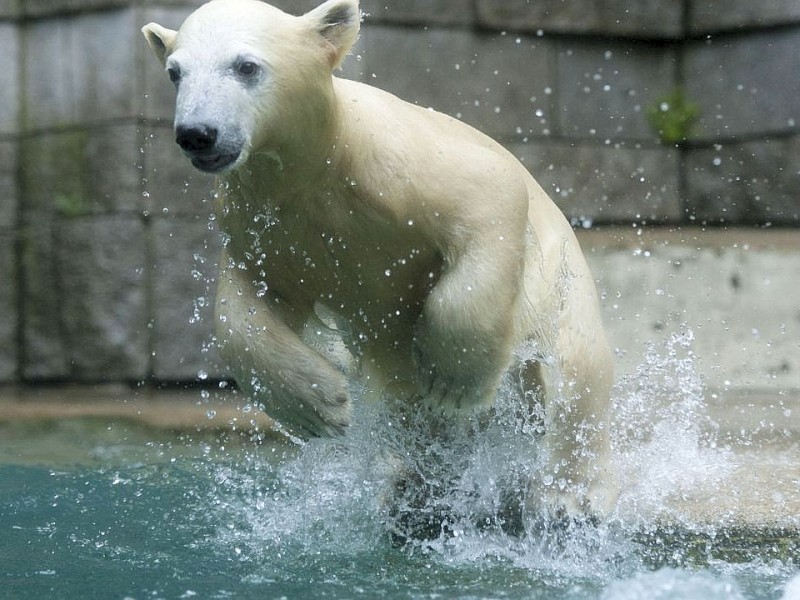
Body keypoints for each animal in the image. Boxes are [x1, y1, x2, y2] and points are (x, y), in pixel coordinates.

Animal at [144, 0, 620, 520]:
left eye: (246, 66)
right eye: (174, 72)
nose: (197, 134)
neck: (321, 166)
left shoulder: (397, 166)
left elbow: (487, 195)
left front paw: (453, 380)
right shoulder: (261, 224)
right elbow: (243, 310)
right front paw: (321, 406)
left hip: (561, 287)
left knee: (572, 374)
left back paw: (569, 493)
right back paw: (413, 484)